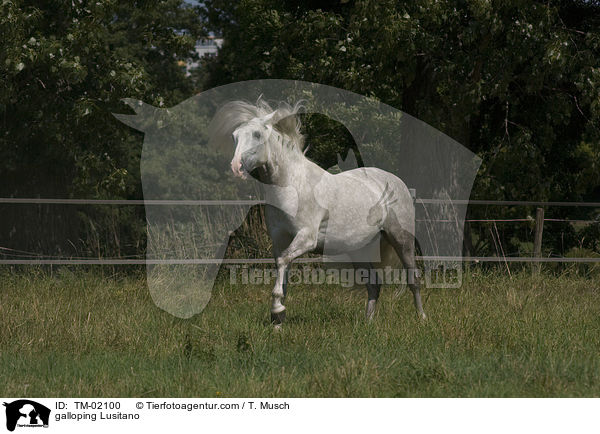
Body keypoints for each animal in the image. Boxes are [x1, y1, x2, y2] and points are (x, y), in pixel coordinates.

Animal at [211, 100, 426, 326]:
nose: (236, 167)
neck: (293, 186)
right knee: (374, 284)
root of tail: (397, 182)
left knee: (413, 279)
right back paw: (367, 324)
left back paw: (421, 319)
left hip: (401, 239)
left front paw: (277, 309)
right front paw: (278, 320)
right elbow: (282, 268)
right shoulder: (279, 240)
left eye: (257, 134)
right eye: (234, 136)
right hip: (358, 249)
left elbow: (283, 262)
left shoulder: (307, 238)